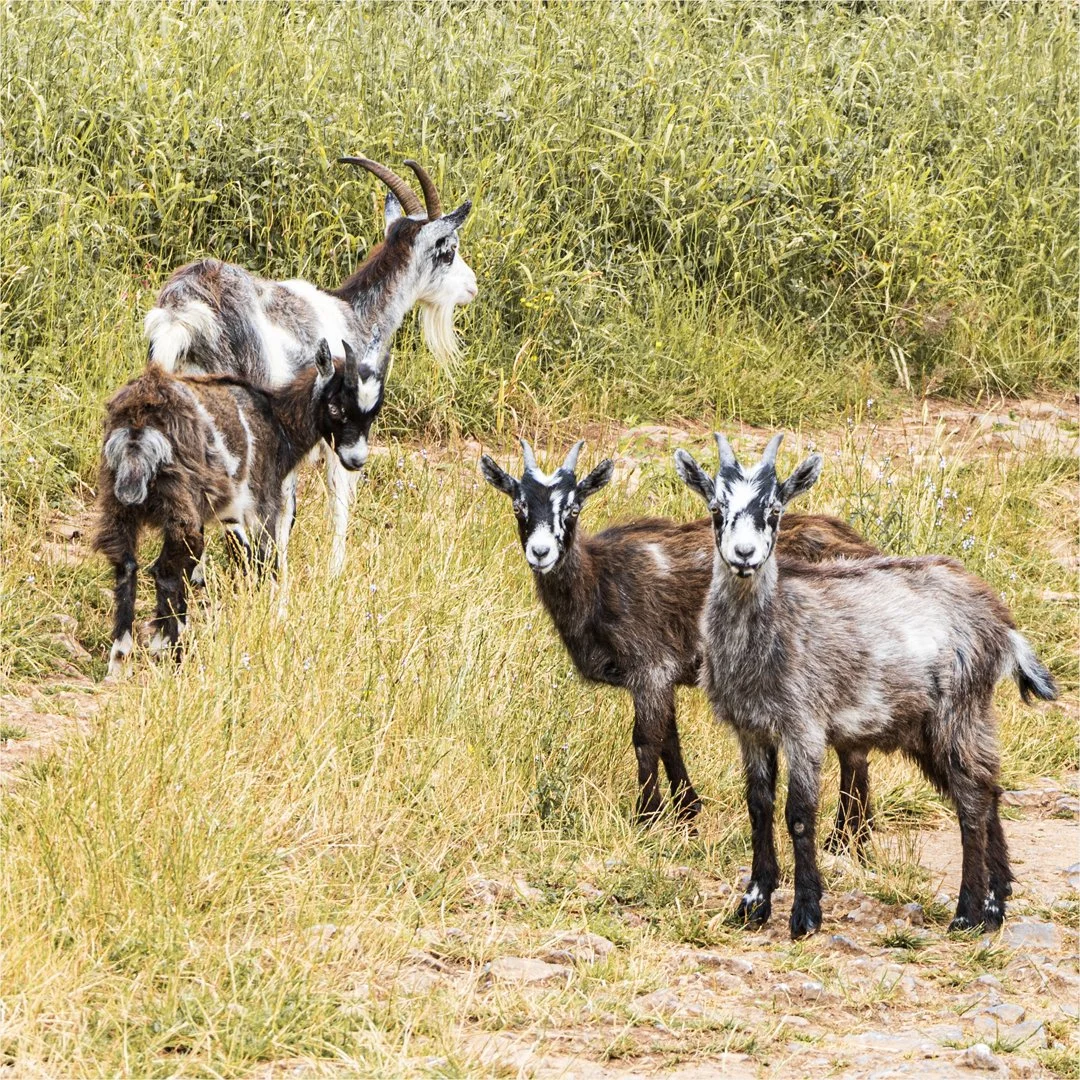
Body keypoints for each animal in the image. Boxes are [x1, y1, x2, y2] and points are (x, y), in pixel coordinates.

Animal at [94, 338, 382, 677]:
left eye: (371, 415)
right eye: (337, 408)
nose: (356, 460)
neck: (277, 421)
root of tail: (139, 423)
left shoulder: (219, 513)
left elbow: (200, 566)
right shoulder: (262, 507)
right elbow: (266, 564)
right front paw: (274, 620)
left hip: (118, 500)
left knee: (127, 566)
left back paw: (120, 658)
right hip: (179, 499)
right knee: (165, 571)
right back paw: (169, 653)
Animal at [145, 156, 476, 574]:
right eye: (448, 249)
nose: (471, 286)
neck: (356, 315)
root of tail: (185, 311)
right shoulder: (341, 424)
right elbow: (334, 499)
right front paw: (333, 572)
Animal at [480, 440, 880, 844]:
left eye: (573, 508)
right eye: (518, 506)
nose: (541, 552)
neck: (599, 580)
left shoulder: (650, 667)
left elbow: (646, 740)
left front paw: (646, 817)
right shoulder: (662, 676)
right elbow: (670, 739)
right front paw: (687, 814)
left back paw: (846, 836)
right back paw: (855, 830)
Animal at [675, 432, 1057, 938]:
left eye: (774, 510)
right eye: (717, 509)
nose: (744, 555)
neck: (776, 627)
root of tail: (1001, 621)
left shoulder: (804, 726)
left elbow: (799, 815)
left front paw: (805, 913)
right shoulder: (751, 730)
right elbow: (758, 807)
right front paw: (752, 905)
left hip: (958, 711)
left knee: (972, 802)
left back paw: (967, 912)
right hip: (929, 728)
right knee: (986, 787)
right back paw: (995, 907)